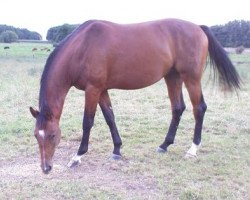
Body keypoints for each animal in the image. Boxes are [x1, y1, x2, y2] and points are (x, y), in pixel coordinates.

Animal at [29, 19, 240, 175]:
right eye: (36, 135)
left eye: (53, 135)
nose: (46, 168)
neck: (82, 48)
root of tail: (198, 27)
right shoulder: (102, 90)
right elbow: (110, 117)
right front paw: (117, 150)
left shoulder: (93, 89)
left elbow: (87, 122)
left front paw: (77, 156)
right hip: (172, 77)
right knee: (178, 108)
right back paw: (164, 145)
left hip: (191, 78)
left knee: (199, 108)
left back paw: (192, 149)